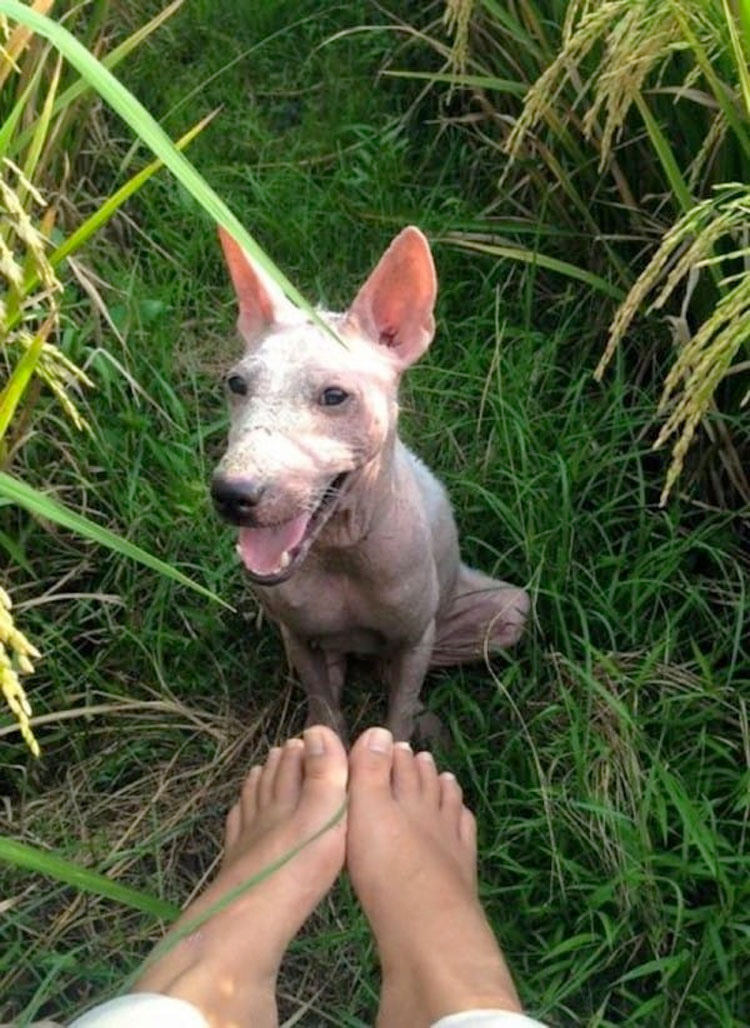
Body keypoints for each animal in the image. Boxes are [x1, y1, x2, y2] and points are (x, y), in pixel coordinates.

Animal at [208, 227, 526, 740]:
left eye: (335, 396)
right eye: (236, 384)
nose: (232, 494)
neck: (341, 549)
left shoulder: (416, 639)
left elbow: (397, 713)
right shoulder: (297, 636)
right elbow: (323, 704)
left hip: (506, 610)